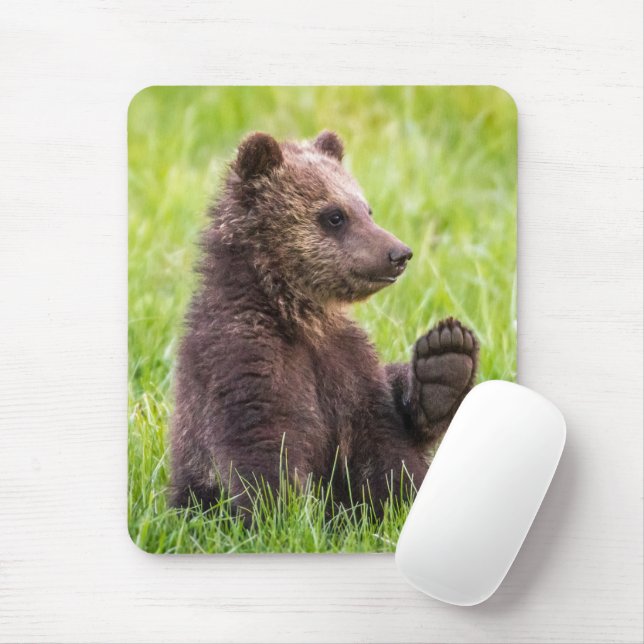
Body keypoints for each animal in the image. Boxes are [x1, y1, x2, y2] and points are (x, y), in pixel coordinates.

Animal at [170, 130, 478, 518]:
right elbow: (264, 440)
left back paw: (445, 364)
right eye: (334, 216)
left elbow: (383, 441)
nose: (399, 253)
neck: (298, 315)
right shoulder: (243, 354)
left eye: (367, 209)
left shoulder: (348, 363)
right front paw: (281, 513)